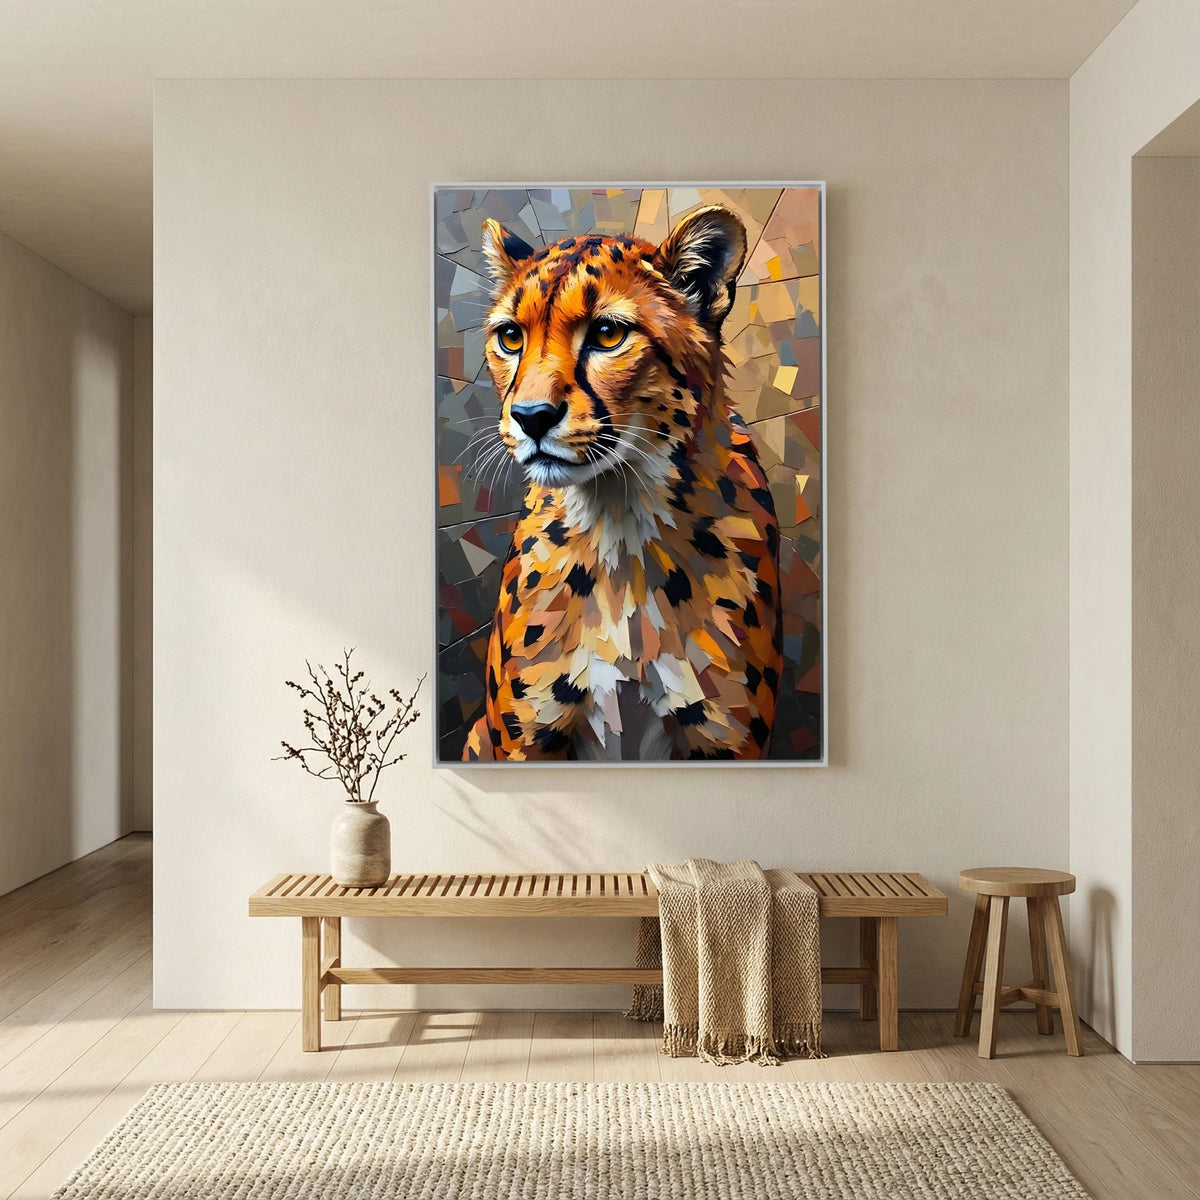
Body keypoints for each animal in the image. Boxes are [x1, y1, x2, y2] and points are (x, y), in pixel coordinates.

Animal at [461, 203, 782, 761]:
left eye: (608, 333)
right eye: (511, 337)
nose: (531, 416)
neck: (619, 516)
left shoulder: (727, 741)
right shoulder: (525, 742)